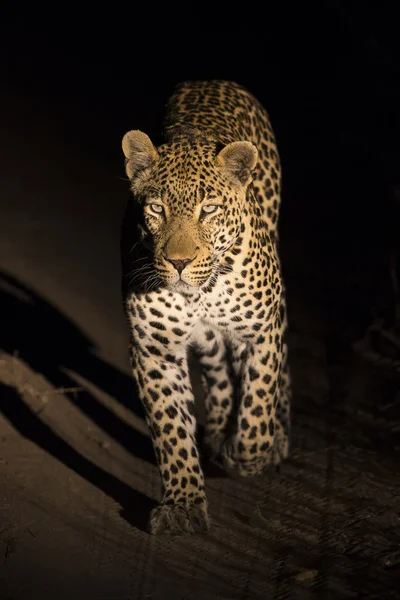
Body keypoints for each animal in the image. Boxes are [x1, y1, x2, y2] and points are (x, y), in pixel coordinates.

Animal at [121, 79, 290, 536]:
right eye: (156, 209)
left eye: (208, 210)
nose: (178, 262)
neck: (202, 293)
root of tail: (213, 80)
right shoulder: (154, 350)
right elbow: (171, 430)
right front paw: (182, 504)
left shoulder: (261, 332)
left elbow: (258, 406)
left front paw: (248, 454)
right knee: (216, 369)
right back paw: (216, 428)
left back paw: (274, 437)